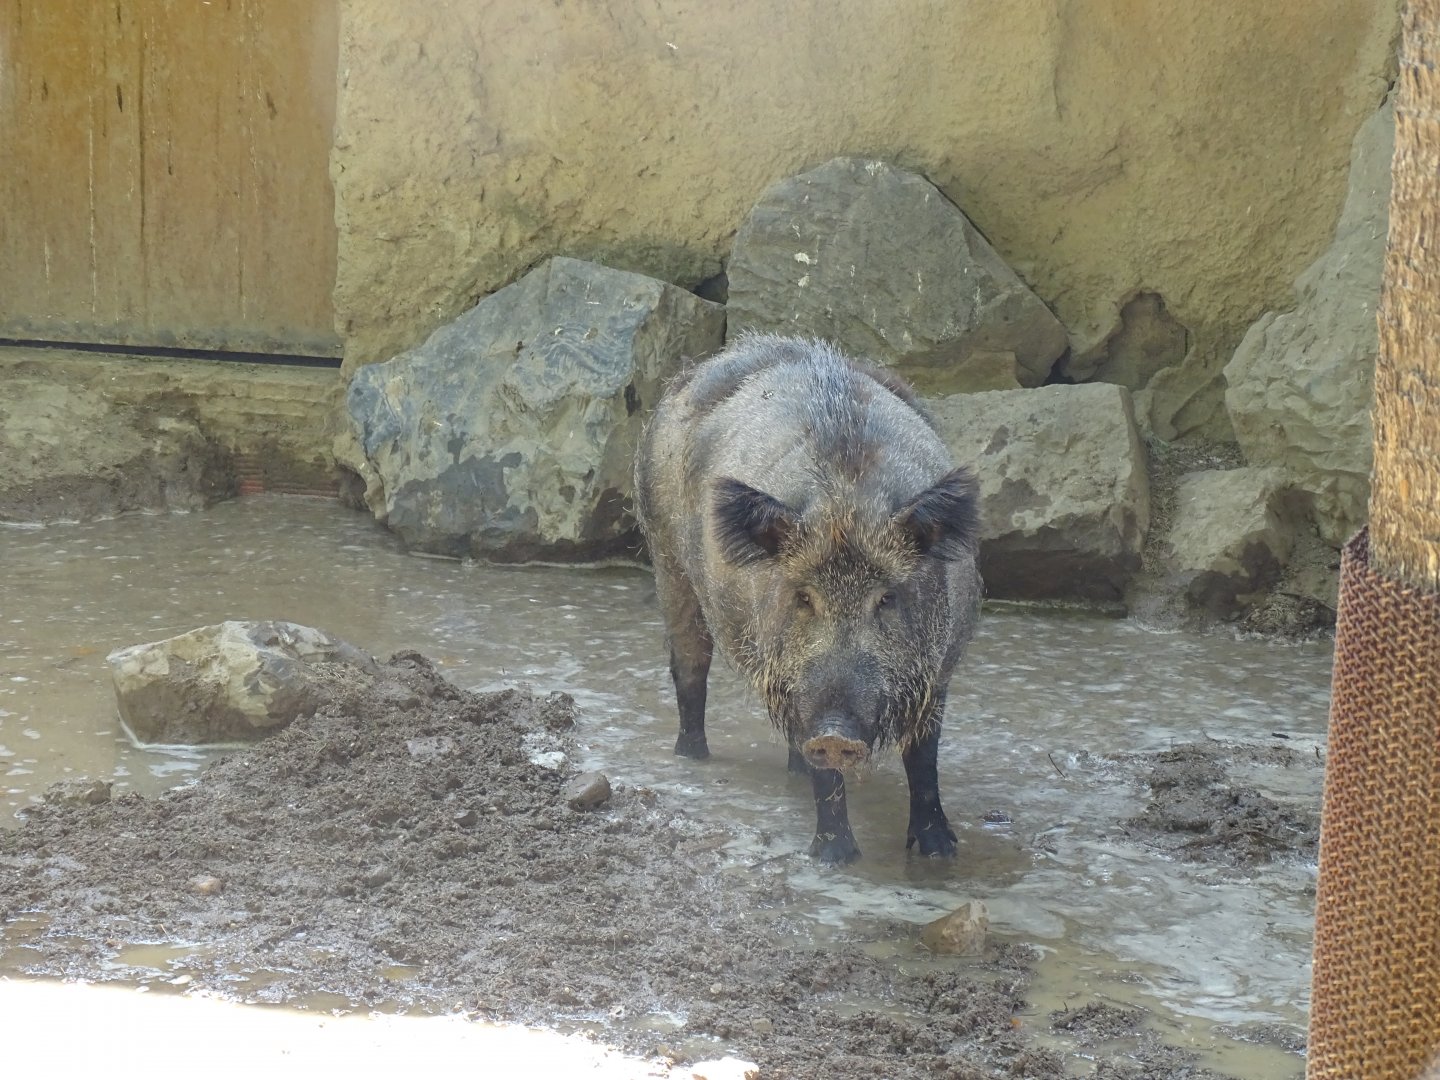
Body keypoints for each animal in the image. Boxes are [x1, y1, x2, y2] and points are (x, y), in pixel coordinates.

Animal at [633, 333, 981, 863]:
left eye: (887, 598)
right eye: (803, 597)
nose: (835, 733)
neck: (847, 505)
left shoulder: (941, 666)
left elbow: (924, 758)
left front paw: (939, 853)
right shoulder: (791, 678)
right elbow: (829, 777)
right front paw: (836, 859)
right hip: (668, 564)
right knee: (689, 666)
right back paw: (691, 756)